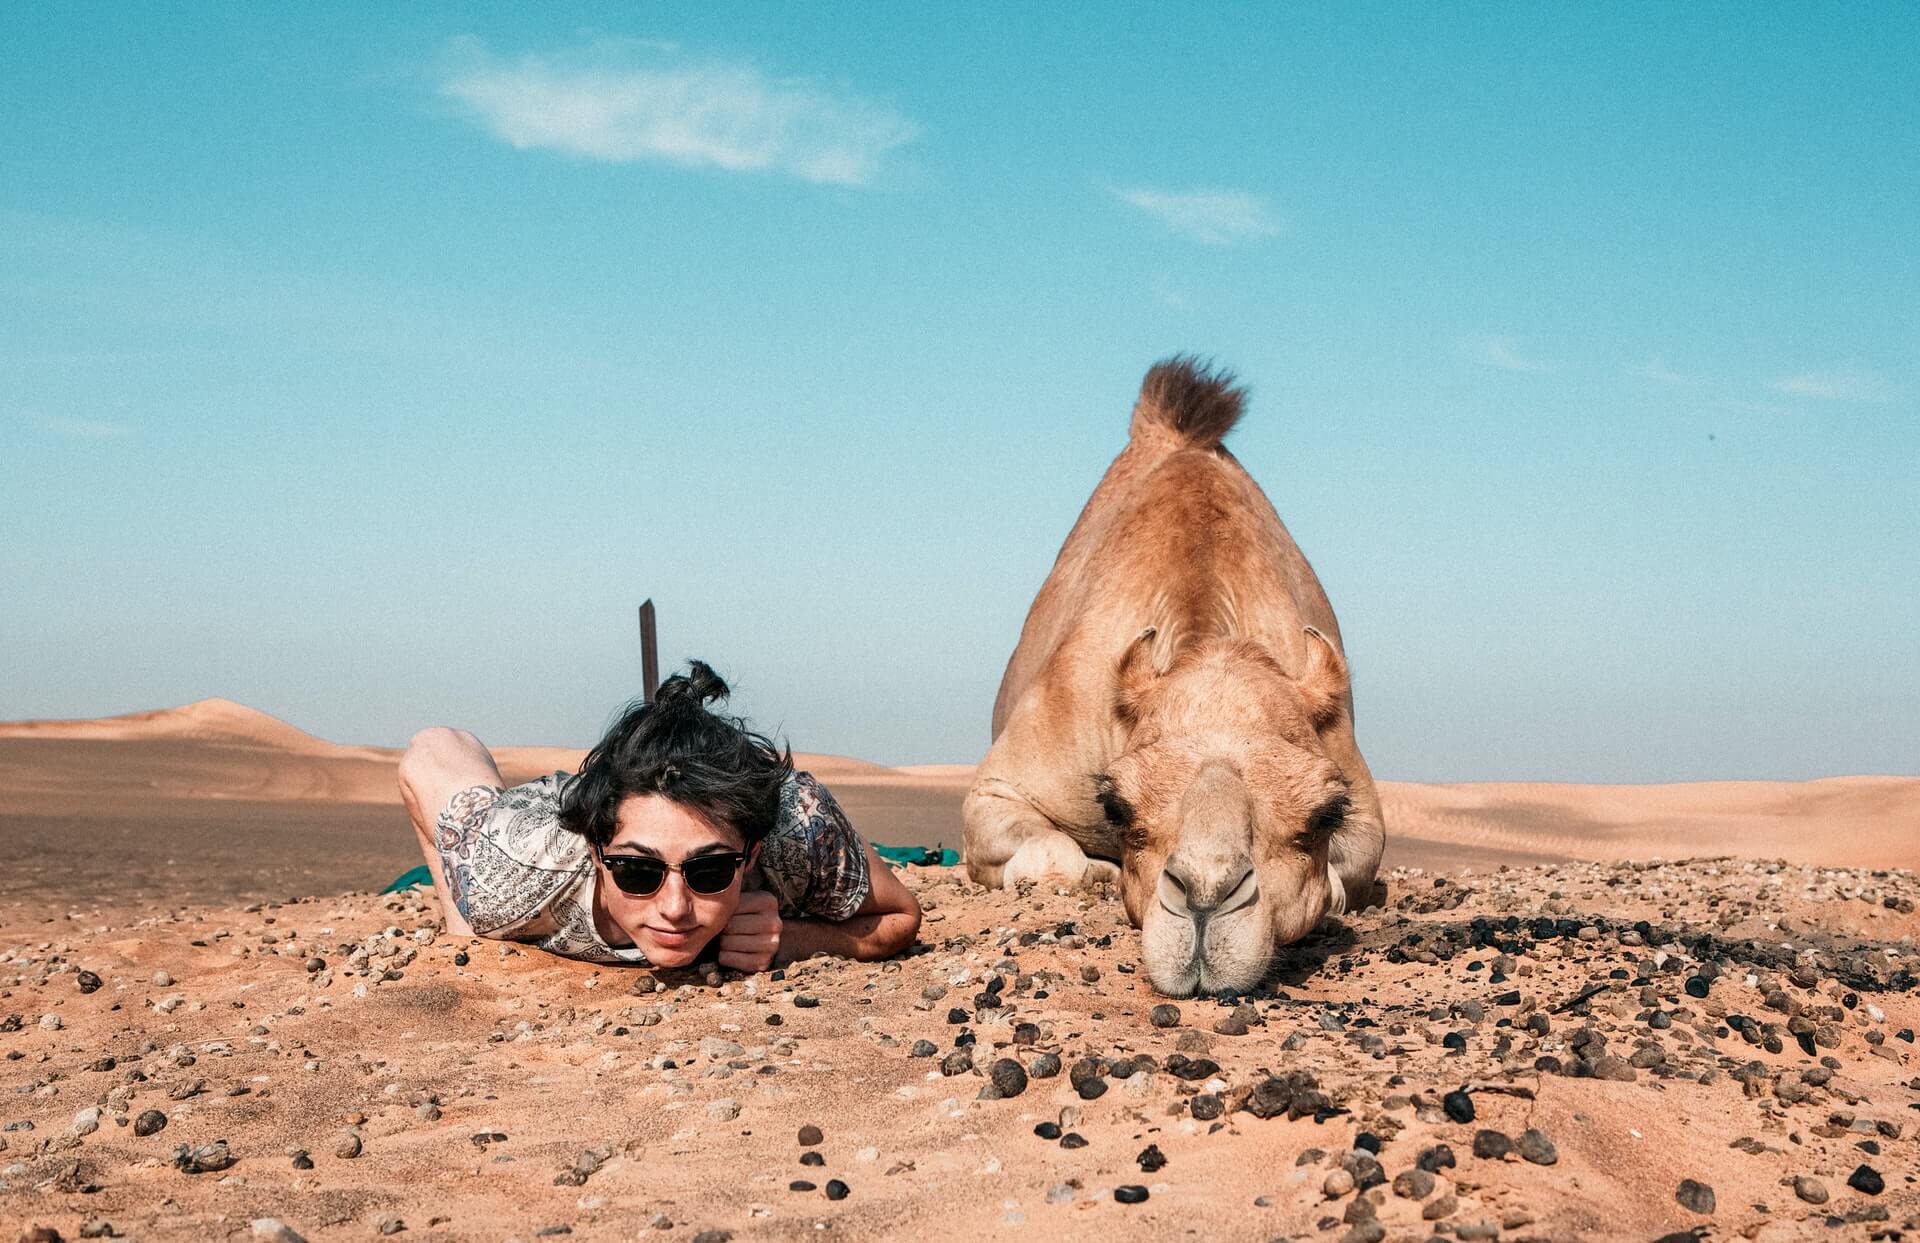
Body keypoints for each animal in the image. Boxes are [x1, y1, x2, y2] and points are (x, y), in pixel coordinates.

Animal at [967, 355, 1390, 999]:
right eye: (1117, 806)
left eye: (1325, 814)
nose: (1205, 900)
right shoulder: (1003, 785)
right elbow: (1057, 860)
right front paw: (1096, 871)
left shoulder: (1356, 790)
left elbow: (1346, 879)